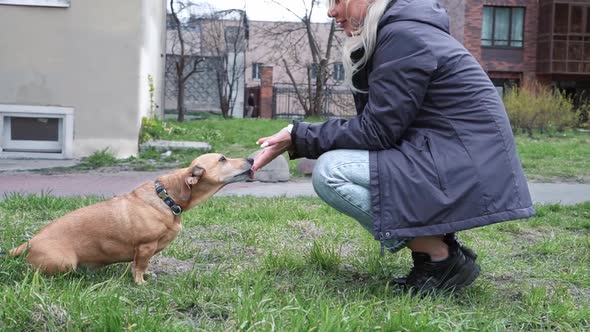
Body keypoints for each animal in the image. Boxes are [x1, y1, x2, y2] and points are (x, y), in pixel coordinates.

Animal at [9, 154, 253, 284]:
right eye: (222, 159)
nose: (251, 158)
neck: (165, 198)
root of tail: (28, 243)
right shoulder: (145, 247)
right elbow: (139, 268)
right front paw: (141, 283)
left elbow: (140, 266)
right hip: (64, 262)